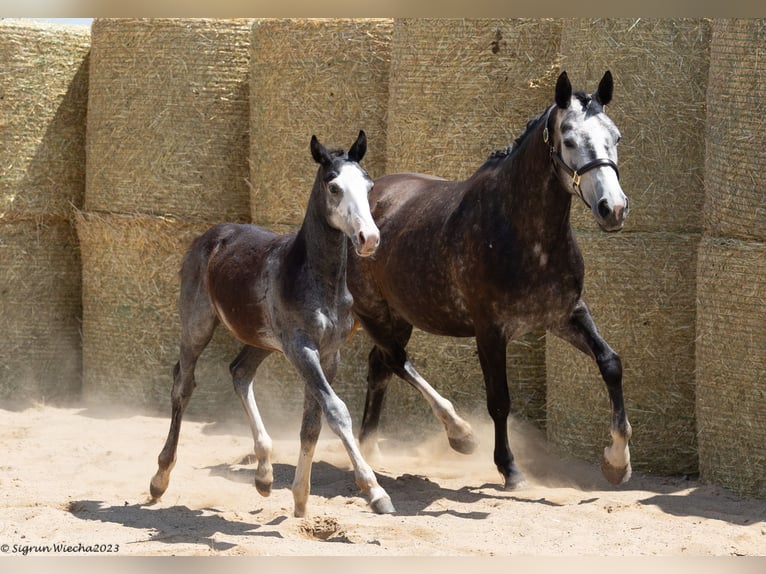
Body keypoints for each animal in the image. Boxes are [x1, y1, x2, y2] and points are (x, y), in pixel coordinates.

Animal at [149, 133, 396, 520]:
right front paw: (375, 492)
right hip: (196, 325)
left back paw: (264, 475)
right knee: (183, 385)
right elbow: (337, 411)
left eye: (369, 186)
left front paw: (300, 500)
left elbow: (312, 423)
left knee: (239, 372)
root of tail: (211, 235)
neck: (316, 280)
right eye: (334, 186)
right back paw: (160, 479)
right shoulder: (301, 348)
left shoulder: (329, 354)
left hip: (259, 339)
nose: (368, 238)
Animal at [350, 71, 636, 490]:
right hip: (373, 312)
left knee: (380, 367)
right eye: (568, 139)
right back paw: (460, 433)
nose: (612, 209)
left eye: (615, 136)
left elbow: (611, 363)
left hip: (399, 315)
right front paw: (510, 469)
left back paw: (370, 448)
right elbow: (499, 400)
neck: (525, 235)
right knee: (396, 361)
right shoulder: (490, 331)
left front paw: (617, 462)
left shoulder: (565, 315)